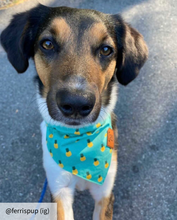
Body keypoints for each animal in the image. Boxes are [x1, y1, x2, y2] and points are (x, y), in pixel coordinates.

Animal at [0, 3, 148, 220]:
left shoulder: (105, 194)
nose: (76, 104)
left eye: (106, 49)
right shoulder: (59, 192)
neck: (79, 142)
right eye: (47, 44)